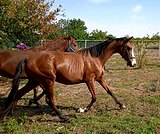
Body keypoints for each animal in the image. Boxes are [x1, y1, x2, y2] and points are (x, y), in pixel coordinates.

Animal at [0, 36, 136, 121]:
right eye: (128, 48)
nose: (133, 63)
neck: (94, 58)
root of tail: (27, 59)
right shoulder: (89, 80)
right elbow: (94, 97)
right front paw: (83, 109)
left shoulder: (100, 78)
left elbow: (110, 91)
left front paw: (121, 105)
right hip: (48, 81)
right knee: (49, 100)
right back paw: (64, 117)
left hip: (34, 81)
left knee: (18, 93)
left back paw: (10, 113)